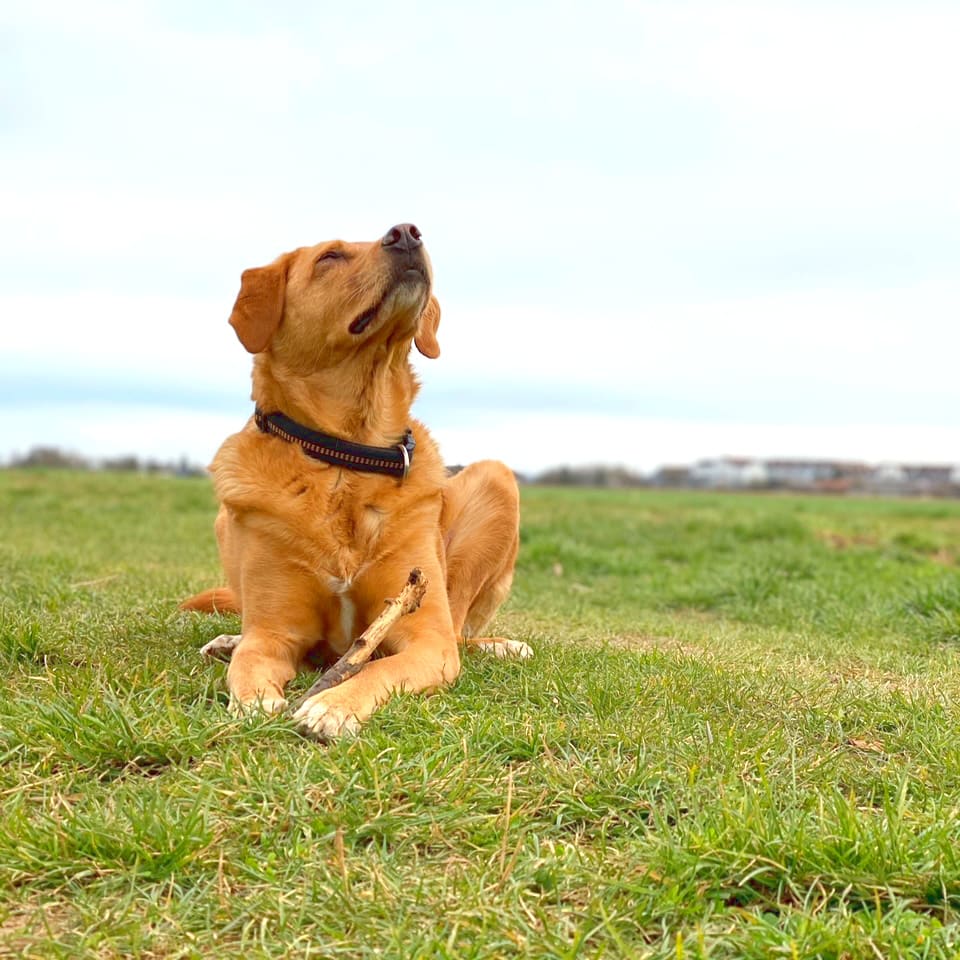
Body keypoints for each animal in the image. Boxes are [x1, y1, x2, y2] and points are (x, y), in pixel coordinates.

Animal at [184, 223, 528, 736]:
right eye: (329, 257)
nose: (406, 232)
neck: (346, 457)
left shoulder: (424, 636)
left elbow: (380, 665)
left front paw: (334, 704)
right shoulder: (273, 634)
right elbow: (250, 661)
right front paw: (254, 701)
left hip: (497, 482)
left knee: (460, 633)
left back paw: (503, 647)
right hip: (227, 522)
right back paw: (226, 641)